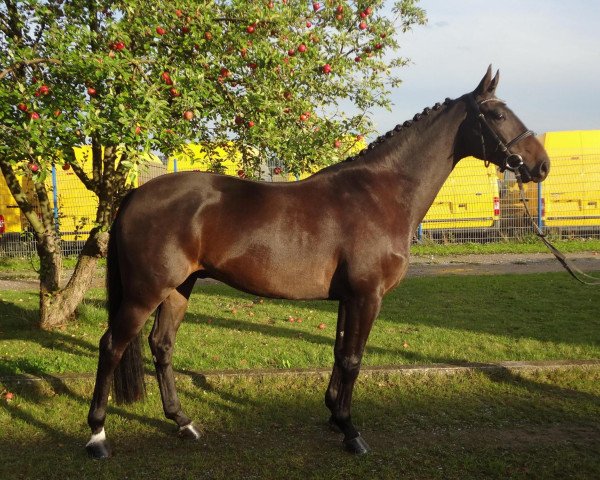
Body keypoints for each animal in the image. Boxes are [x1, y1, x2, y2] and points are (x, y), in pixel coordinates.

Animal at [84, 67, 548, 458]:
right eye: (496, 113)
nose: (540, 165)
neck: (381, 193)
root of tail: (135, 194)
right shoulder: (367, 296)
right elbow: (353, 359)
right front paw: (351, 432)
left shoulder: (348, 298)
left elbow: (340, 353)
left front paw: (333, 416)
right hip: (145, 292)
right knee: (111, 345)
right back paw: (98, 436)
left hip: (180, 287)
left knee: (161, 346)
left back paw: (184, 423)